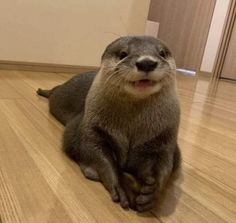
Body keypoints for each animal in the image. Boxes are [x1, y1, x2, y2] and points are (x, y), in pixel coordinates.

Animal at [37, 35, 181, 212]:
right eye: (123, 53)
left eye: (162, 53)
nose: (147, 62)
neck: (132, 128)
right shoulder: (89, 128)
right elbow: (95, 152)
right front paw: (122, 186)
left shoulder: (163, 139)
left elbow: (164, 164)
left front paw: (151, 190)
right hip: (62, 93)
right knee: (55, 90)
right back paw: (43, 91)